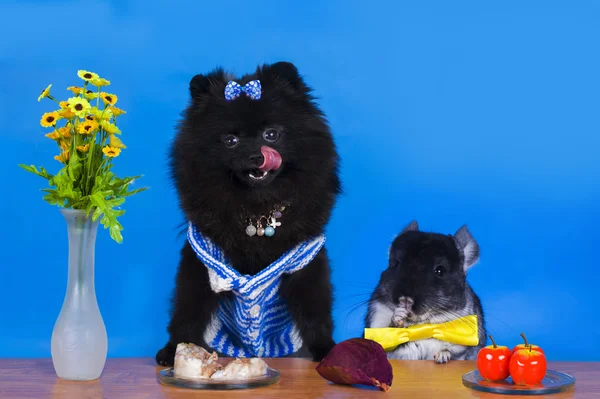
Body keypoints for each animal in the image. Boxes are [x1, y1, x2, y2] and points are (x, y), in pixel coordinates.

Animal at [155, 61, 342, 368]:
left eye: (271, 135)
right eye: (230, 140)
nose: (257, 156)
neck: (258, 210)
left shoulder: (306, 260)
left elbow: (315, 311)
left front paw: (326, 349)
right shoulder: (200, 259)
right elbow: (188, 309)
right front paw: (175, 349)